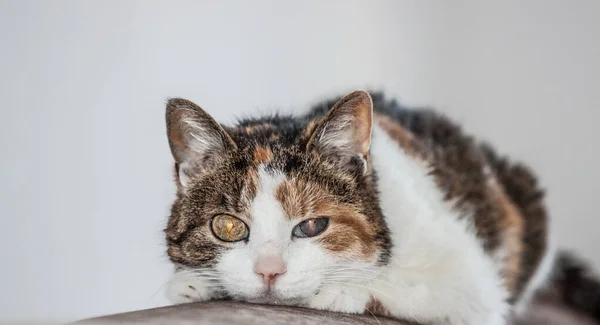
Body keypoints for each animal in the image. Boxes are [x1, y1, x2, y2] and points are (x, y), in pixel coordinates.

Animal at [163, 90, 600, 322]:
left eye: (312, 226)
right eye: (228, 227)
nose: (269, 272)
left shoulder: (471, 285)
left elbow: (401, 289)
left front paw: (340, 291)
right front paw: (192, 282)